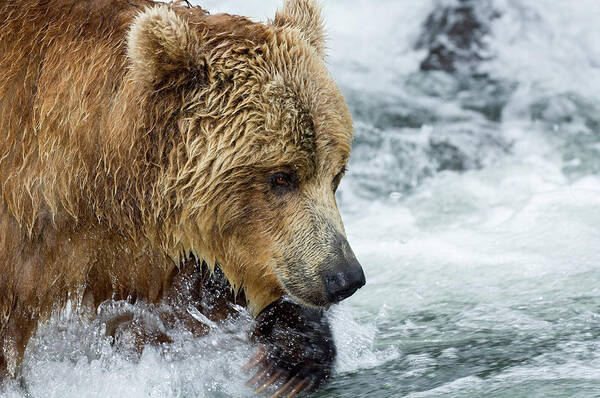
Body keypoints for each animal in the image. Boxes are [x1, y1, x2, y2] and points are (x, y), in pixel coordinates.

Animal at [0, 0, 366, 394]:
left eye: (336, 174)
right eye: (281, 177)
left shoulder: (147, 240)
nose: (344, 277)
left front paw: (291, 354)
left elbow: (192, 298)